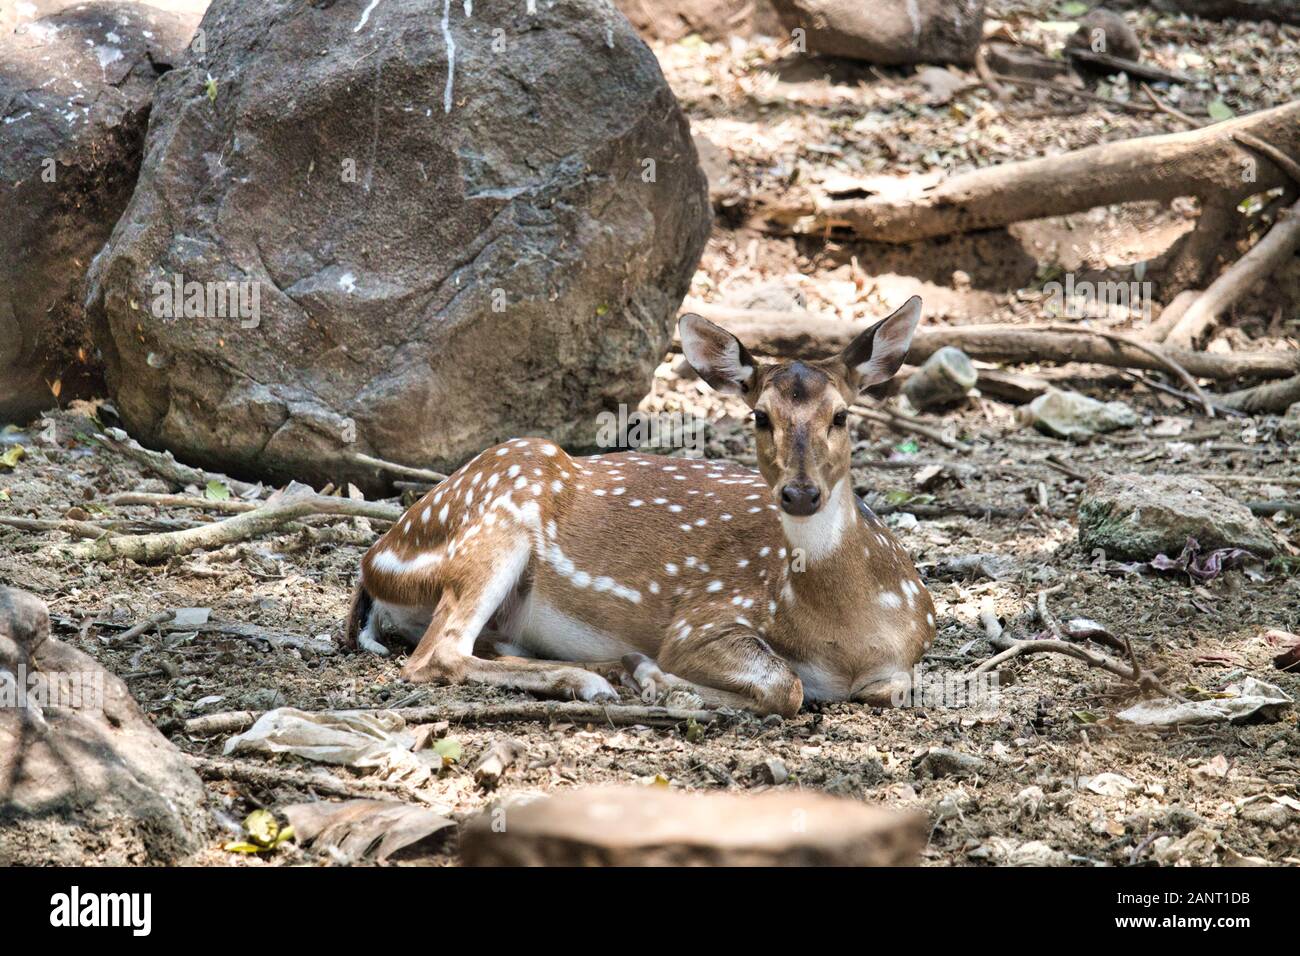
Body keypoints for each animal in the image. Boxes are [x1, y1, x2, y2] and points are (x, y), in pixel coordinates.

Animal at [344, 296, 937, 716]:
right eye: (760, 416)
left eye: (841, 415)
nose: (800, 493)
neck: (846, 636)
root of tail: (375, 563)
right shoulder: (701, 621)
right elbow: (784, 686)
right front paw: (660, 680)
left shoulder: (910, 650)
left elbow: (891, 689)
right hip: (500, 514)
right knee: (436, 653)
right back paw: (595, 679)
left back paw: (608, 670)